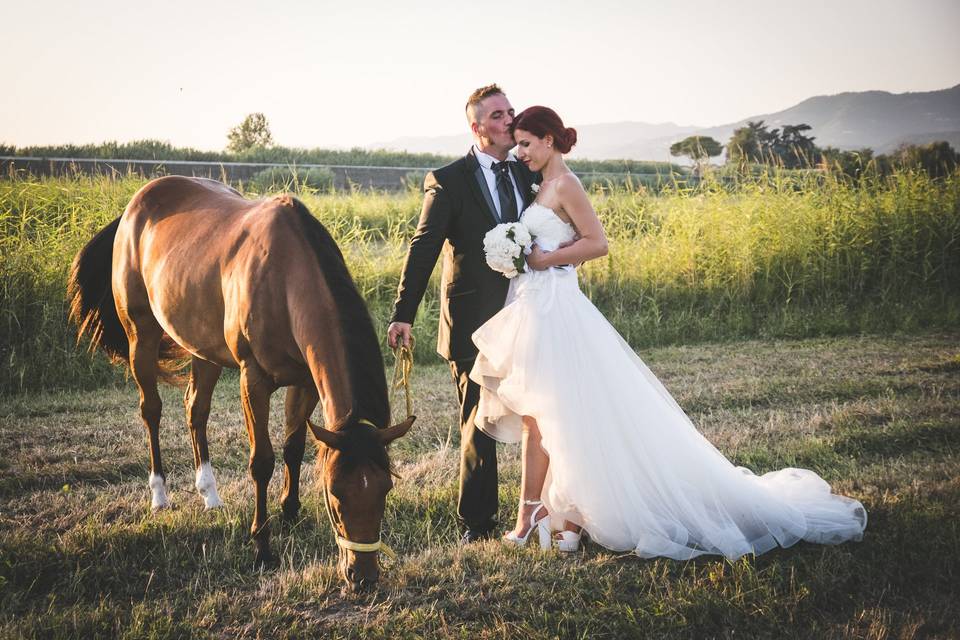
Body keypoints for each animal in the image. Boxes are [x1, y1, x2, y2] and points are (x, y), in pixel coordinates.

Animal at [67, 176, 412, 596]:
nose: (362, 577)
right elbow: (261, 461)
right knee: (152, 411)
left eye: (385, 489)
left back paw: (209, 494)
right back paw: (160, 494)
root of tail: (136, 205)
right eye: (334, 493)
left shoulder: (305, 381)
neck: (285, 278)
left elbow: (293, 447)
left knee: (196, 409)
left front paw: (290, 511)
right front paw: (262, 546)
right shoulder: (254, 379)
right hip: (141, 337)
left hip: (202, 347)